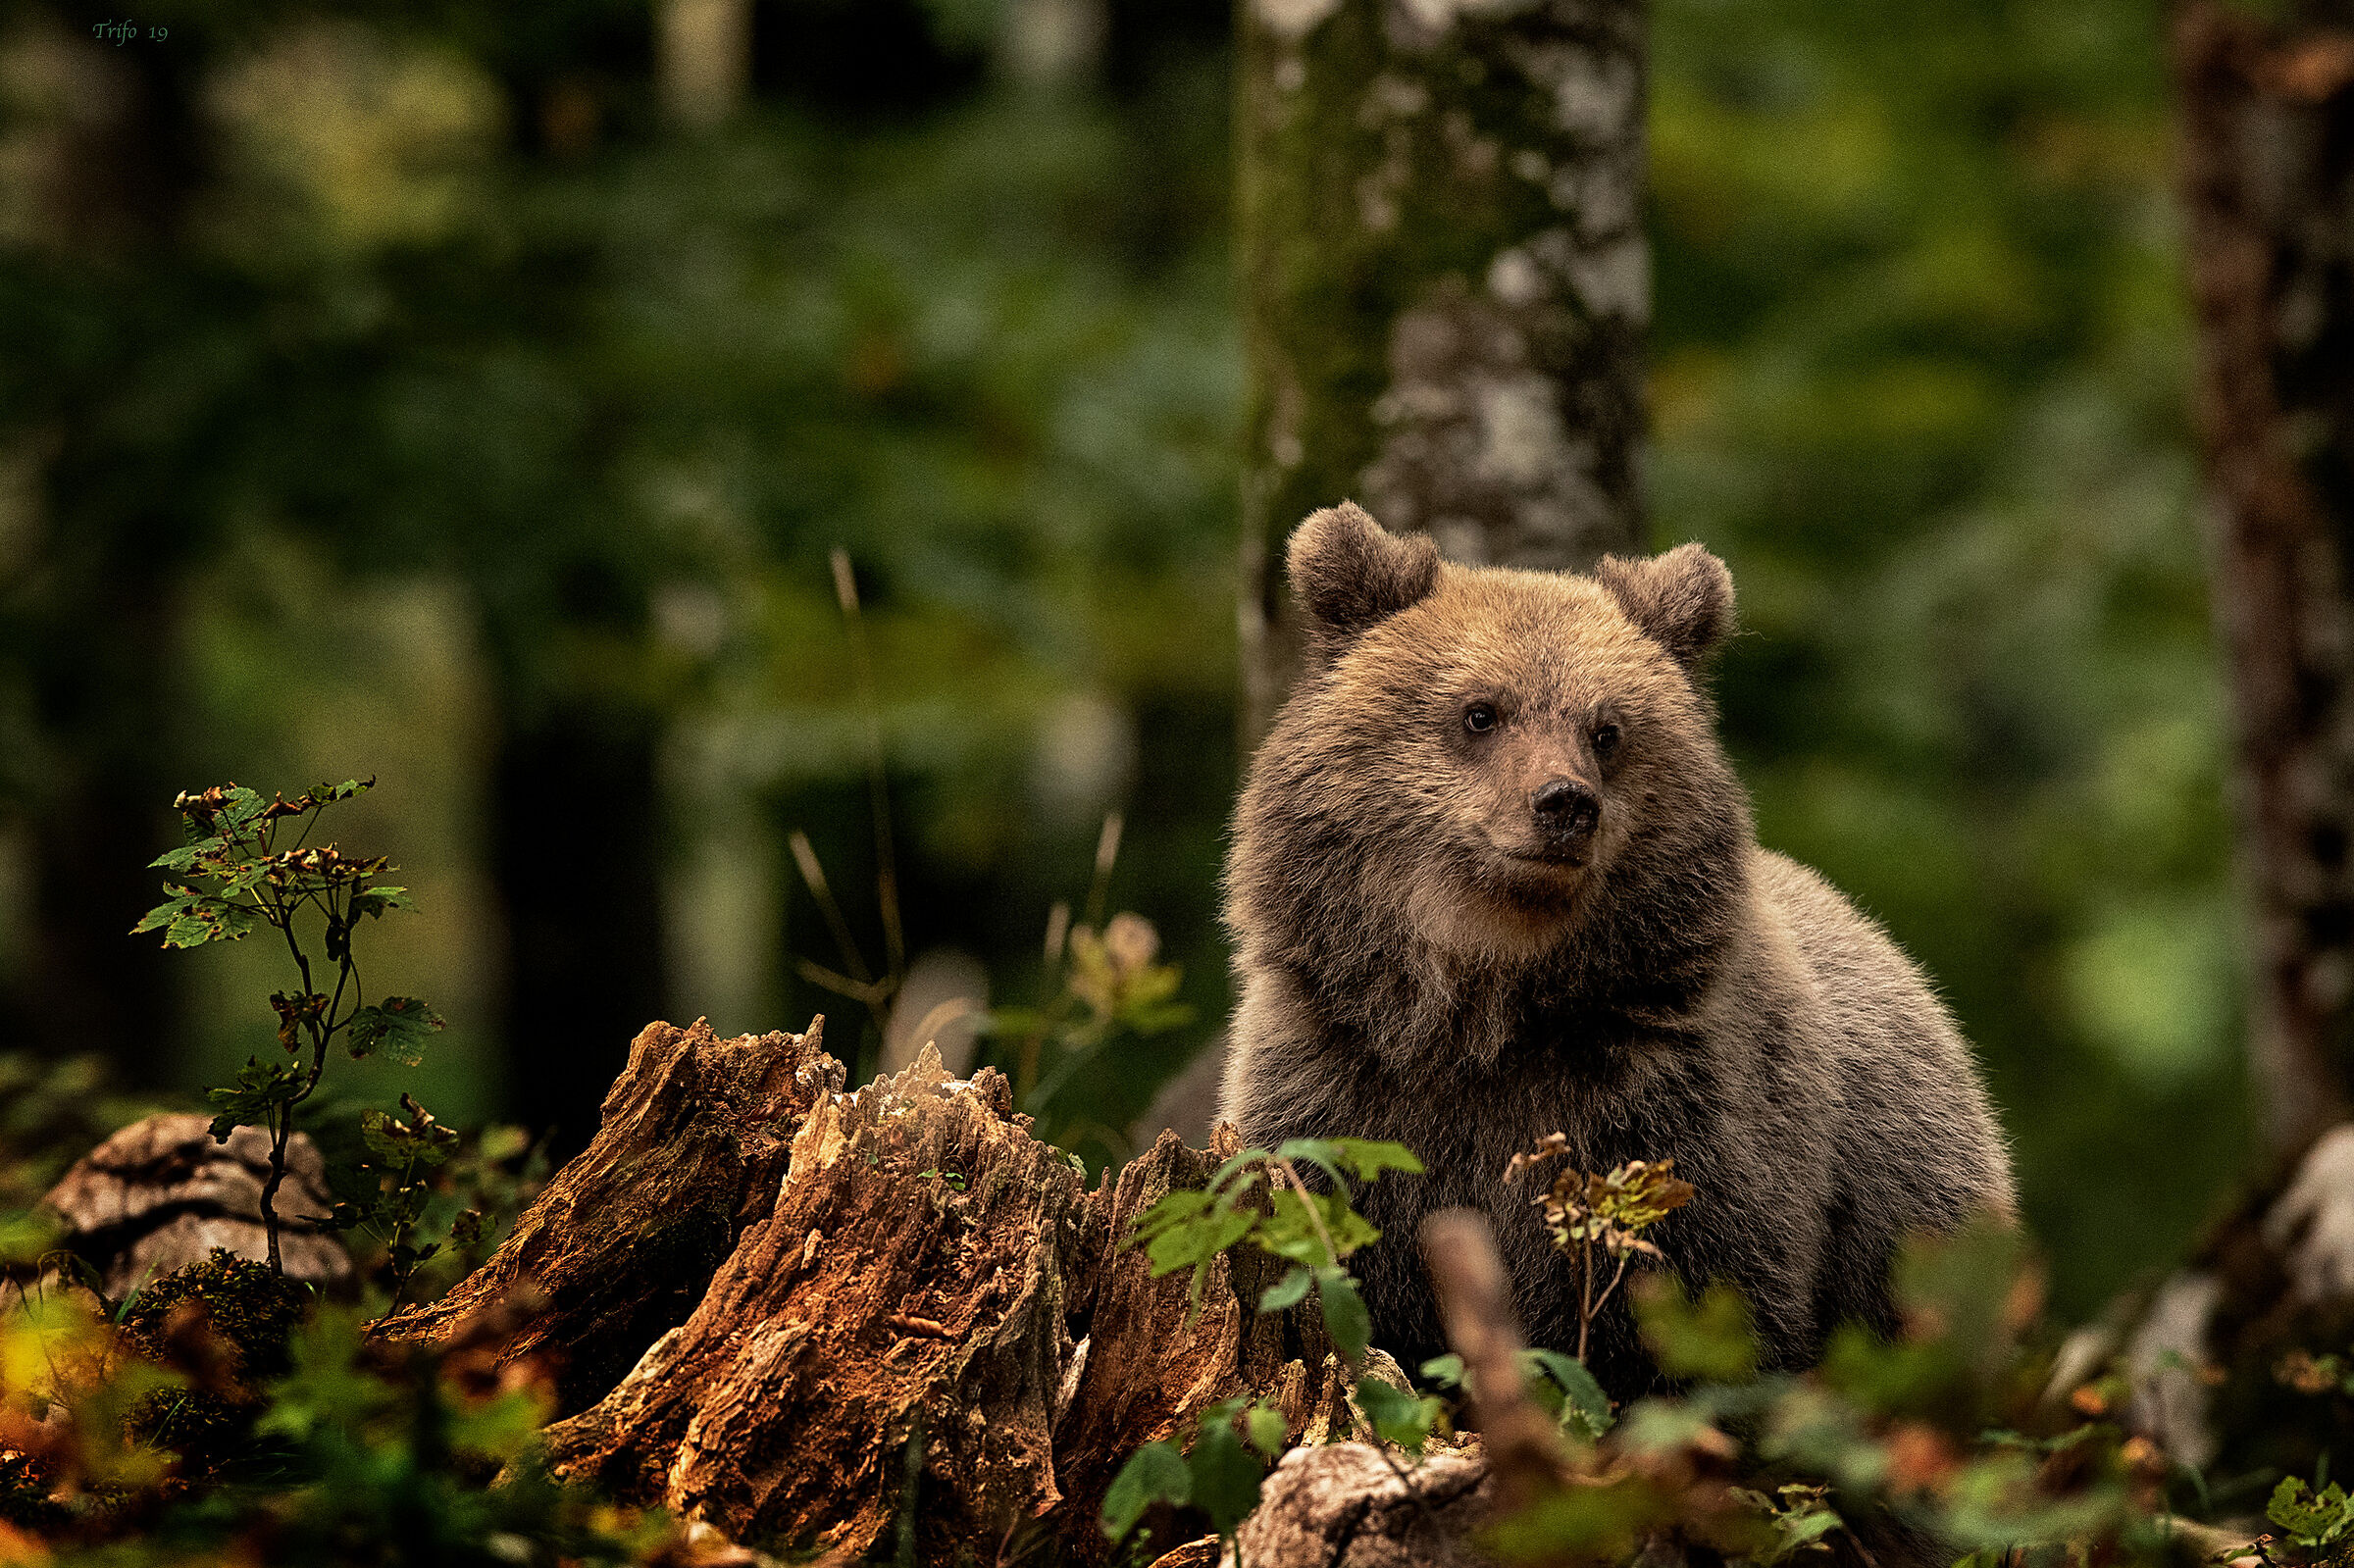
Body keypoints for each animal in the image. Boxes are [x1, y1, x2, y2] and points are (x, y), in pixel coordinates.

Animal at [1219, 501, 2013, 1395]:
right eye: (1481, 711)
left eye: (1607, 729)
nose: (1565, 804)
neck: (1483, 1019)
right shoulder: (1342, 1092)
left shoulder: (1667, 1117)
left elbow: (1693, 1326)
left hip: (1911, 1209)